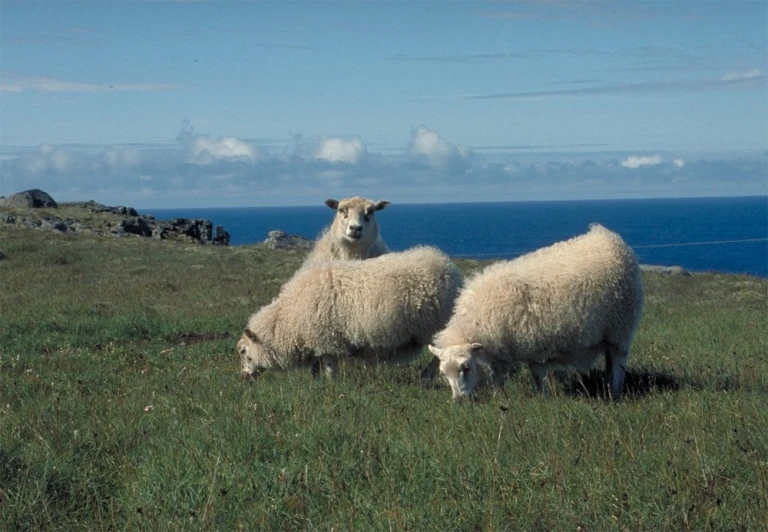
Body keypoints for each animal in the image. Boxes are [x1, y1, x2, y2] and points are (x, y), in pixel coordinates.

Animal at [237, 245, 462, 378]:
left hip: (434, 326)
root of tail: (449, 269)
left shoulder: (326, 340)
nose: (245, 377)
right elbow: (315, 368)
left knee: (439, 355)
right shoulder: (317, 342)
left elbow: (329, 366)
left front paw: (331, 384)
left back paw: (426, 378)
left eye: (243, 352)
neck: (287, 318)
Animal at [428, 222, 644, 402]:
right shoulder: (501, 351)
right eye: (444, 373)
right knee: (610, 362)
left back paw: (615, 393)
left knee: (618, 362)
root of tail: (609, 238)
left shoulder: (535, 344)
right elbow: (498, 376)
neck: (480, 320)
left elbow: (537, 374)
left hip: (620, 327)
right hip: (608, 333)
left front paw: (543, 398)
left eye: (466, 367)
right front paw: (499, 397)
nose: (459, 400)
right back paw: (608, 388)